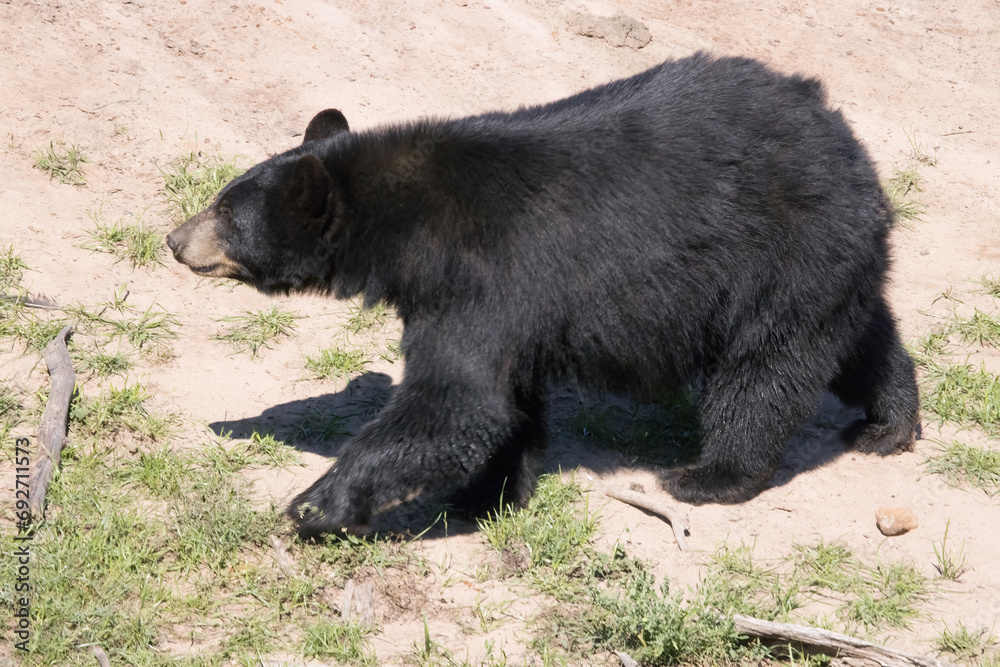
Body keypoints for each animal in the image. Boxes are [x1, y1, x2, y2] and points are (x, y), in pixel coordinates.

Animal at [166, 53, 920, 537]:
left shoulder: (481, 278)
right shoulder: (513, 306)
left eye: (226, 212)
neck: (404, 225)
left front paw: (316, 504)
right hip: (831, 261)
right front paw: (485, 496)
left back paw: (711, 475)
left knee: (766, 370)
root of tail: (844, 137)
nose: (173, 239)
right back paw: (889, 422)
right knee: (861, 337)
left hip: (780, 255)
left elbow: (455, 402)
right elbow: (505, 403)